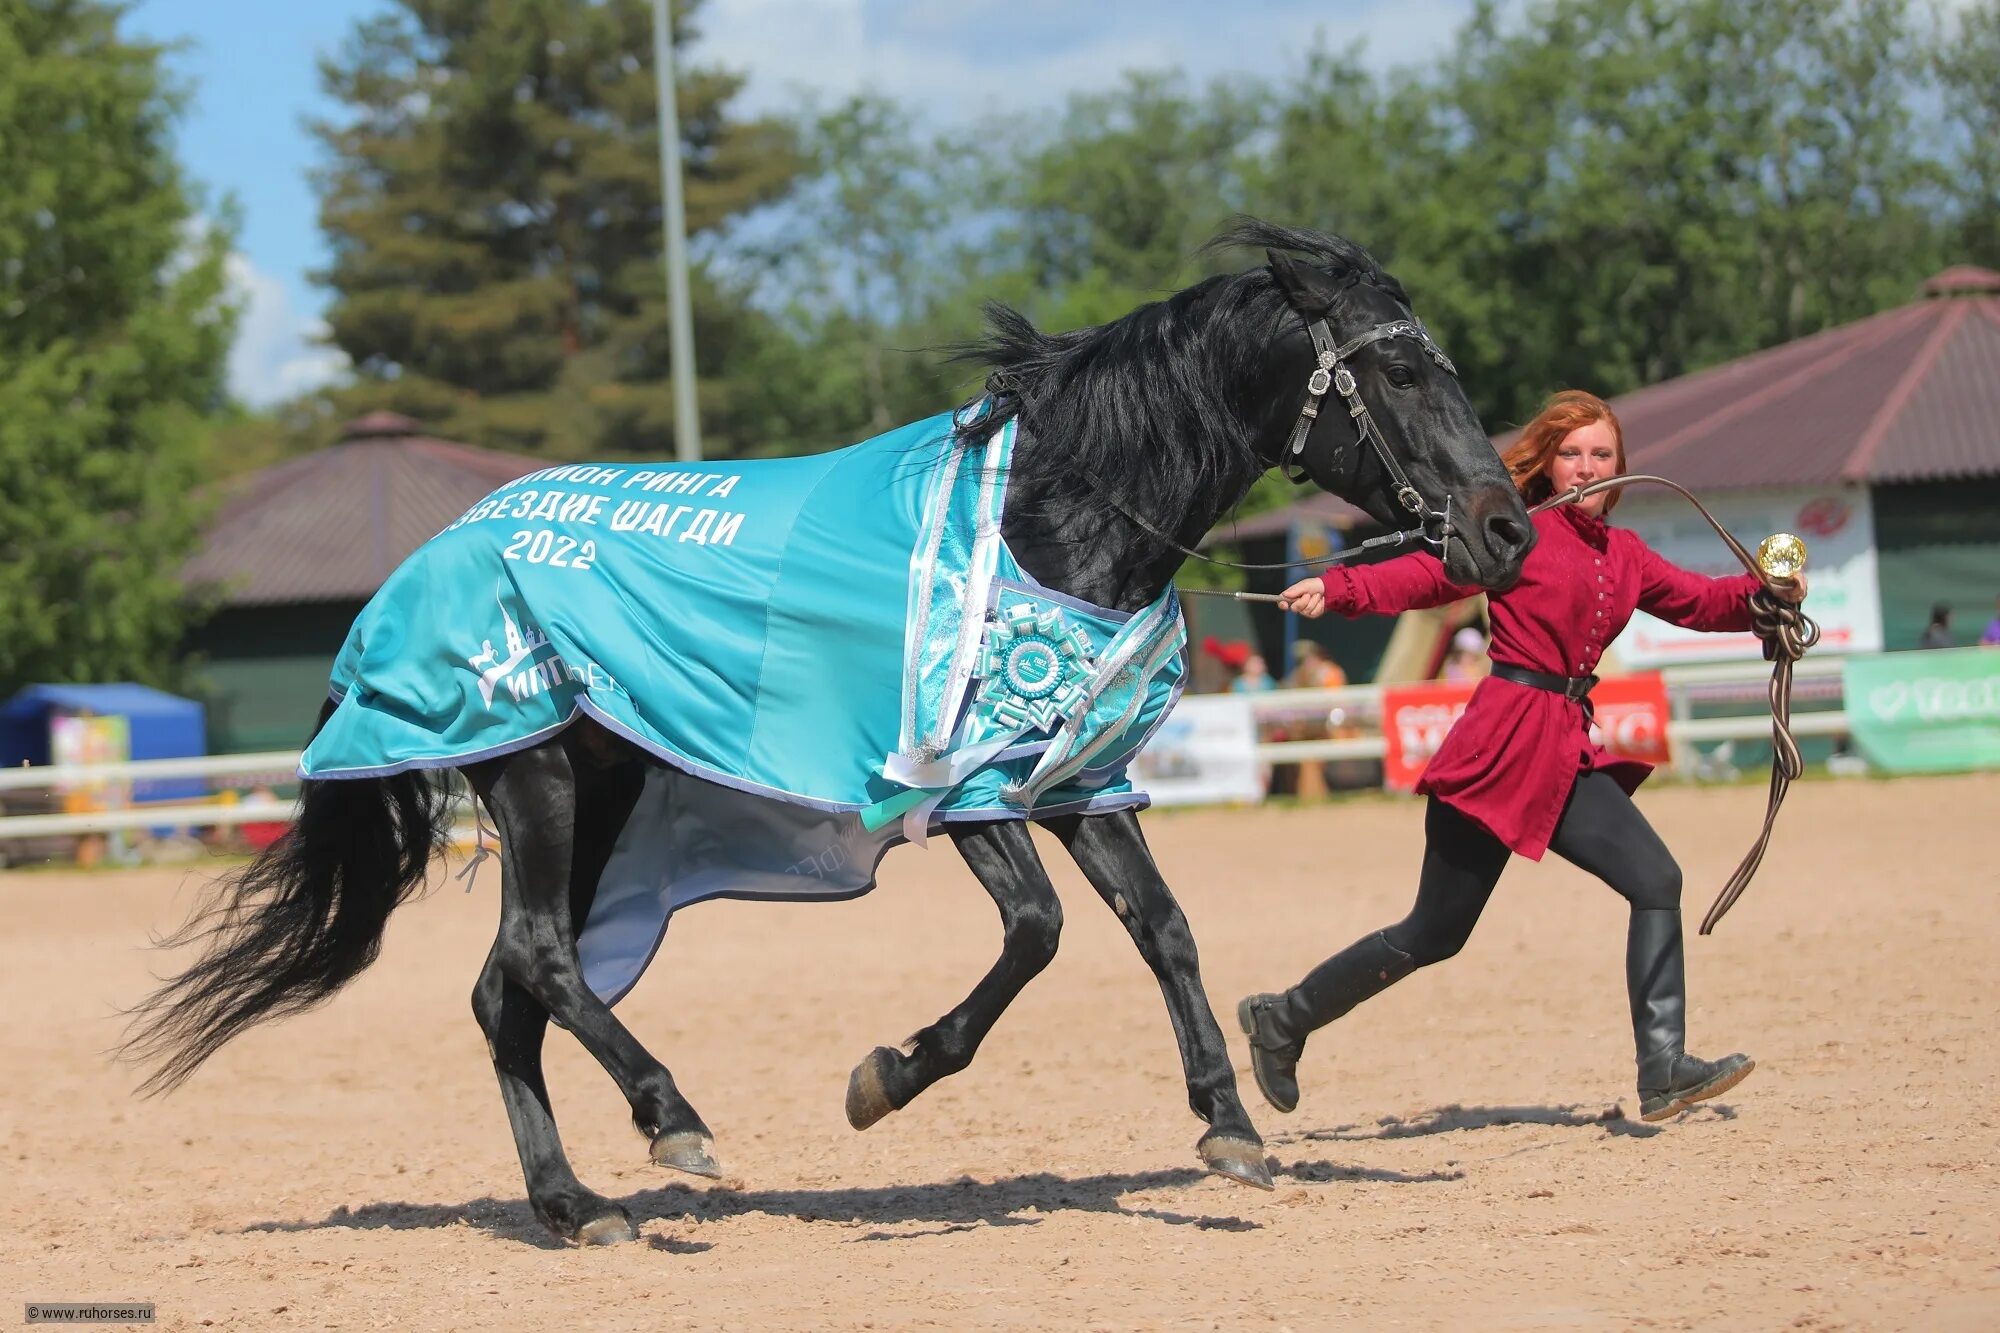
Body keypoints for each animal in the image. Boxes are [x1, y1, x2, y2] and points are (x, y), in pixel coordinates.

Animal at [129, 213, 1528, 1240]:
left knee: (503, 989)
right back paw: (673, 1121)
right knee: (538, 955)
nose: (1505, 527)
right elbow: (1037, 933)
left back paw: (575, 1204)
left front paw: (1228, 1121)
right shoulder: (965, 789)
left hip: (609, 791)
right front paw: (886, 1076)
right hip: (537, 778)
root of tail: (428, 558)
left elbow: (1164, 931)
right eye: (1402, 369)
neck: (1047, 516)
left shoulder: (1074, 780)